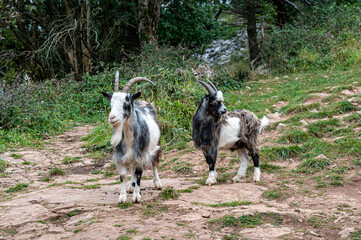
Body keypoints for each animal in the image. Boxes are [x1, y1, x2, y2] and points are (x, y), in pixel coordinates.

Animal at [102, 71, 162, 202]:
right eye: (111, 103)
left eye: (126, 102)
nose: (112, 117)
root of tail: (143, 101)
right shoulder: (121, 155)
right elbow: (124, 175)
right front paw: (122, 197)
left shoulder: (141, 153)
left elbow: (139, 172)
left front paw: (136, 196)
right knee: (133, 168)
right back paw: (131, 186)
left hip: (155, 144)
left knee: (153, 161)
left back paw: (157, 183)